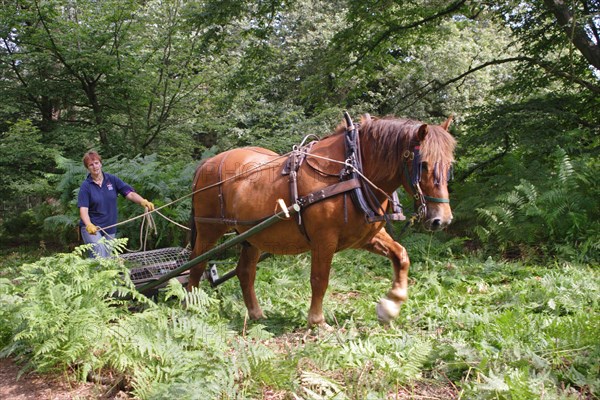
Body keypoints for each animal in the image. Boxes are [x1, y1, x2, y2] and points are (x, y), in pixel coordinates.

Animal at [188, 114, 454, 326]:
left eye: (450, 166)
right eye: (423, 164)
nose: (441, 220)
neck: (352, 171)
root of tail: (206, 164)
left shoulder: (366, 236)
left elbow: (401, 256)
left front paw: (390, 305)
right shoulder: (323, 239)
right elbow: (319, 279)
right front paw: (316, 320)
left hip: (251, 237)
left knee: (245, 272)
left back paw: (256, 314)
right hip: (209, 229)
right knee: (197, 264)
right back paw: (190, 305)